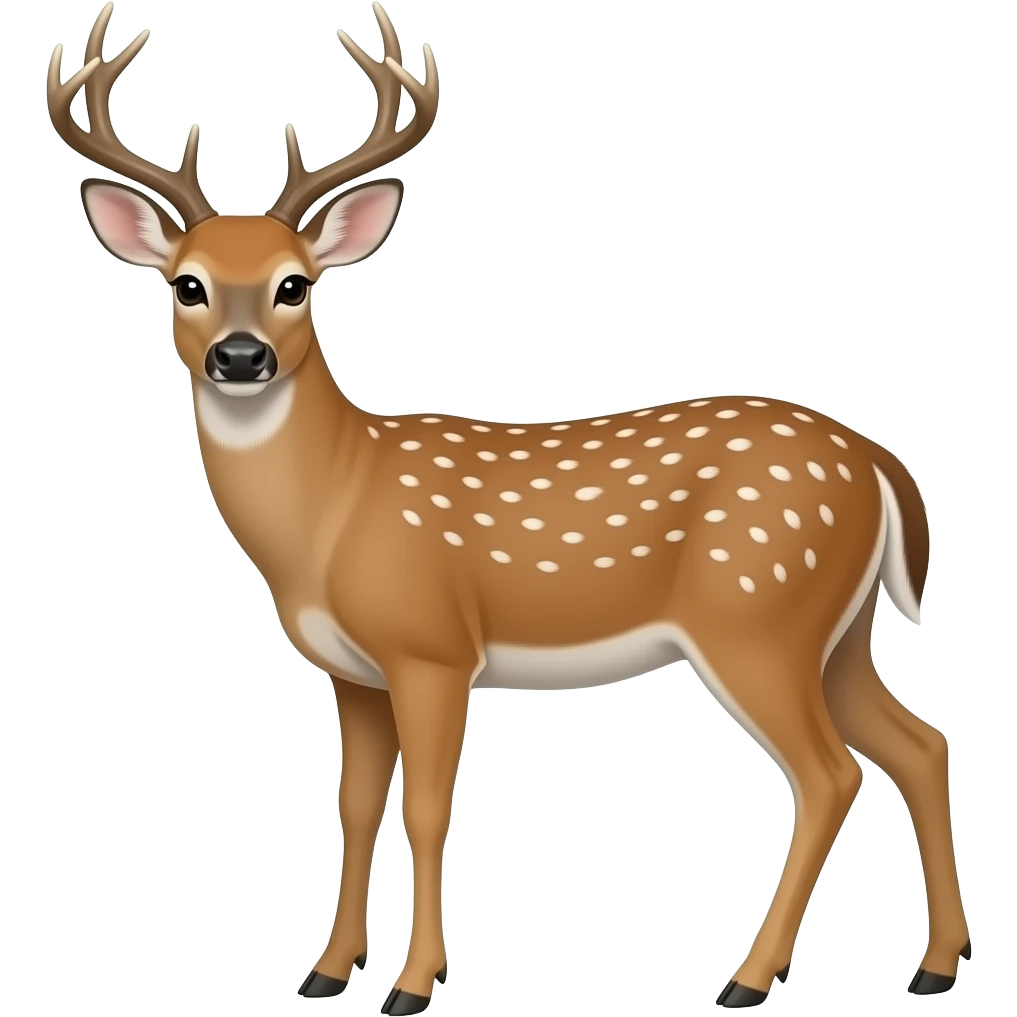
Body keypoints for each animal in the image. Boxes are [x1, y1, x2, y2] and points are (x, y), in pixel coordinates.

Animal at [47, 4, 969, 1012]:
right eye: (187, 283)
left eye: (296, 283)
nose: (241, 356)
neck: (332, 510)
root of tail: (878, 462)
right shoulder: (352, 672)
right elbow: (354, 805)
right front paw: (326, 971)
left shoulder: (432, 646)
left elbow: (426, 808)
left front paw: (413, 983)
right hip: (832, 630)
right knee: (919, 743)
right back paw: (932, 964)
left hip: (755, 614)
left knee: (830, 772)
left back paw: (747, 978)